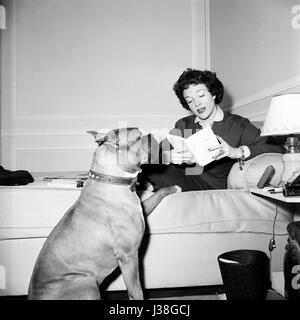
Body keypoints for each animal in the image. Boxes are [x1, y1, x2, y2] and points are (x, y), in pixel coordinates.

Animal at [27, 127, 178, 300]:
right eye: (138, 137)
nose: (152, 134)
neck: (112, 179)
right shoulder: (129, 256)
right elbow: (137, 292)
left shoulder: (143, 209)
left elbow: (158, 193)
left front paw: (173, 188)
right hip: (87, 283)